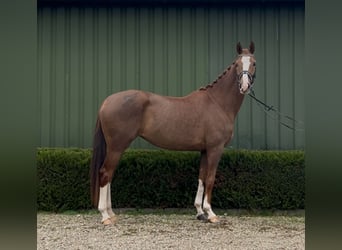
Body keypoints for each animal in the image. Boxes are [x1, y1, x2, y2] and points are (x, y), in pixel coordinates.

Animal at [91, 41, 256, 225]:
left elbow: (201, 177)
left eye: (254, 63)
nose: (244, 86)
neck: (217, 102)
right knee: (106, 173)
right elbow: (210, 179)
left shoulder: (204, 150)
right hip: (117, 146)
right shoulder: (215, 149)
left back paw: (111, 213)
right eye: (237, 64)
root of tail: (107, 102)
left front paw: (200, 212)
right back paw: (105, 216)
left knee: (109, 175)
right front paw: (211, 213)